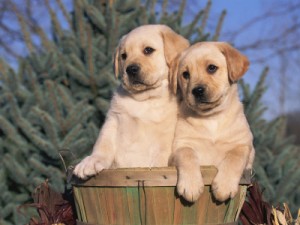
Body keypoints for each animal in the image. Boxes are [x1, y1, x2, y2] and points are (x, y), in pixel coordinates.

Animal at [74, 25, 189, 179]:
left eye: (148, 50)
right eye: (123, 56)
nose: (131, 69)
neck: (145, 98)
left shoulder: (167, 137)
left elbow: (160, 160)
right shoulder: (113, 120)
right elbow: (103, 144)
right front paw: (91, 161)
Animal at [168, 41, 254, 202]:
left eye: (211, 68)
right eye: (185, 74)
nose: (197, 91)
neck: (211, 118)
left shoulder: (244, 145)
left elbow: (235, 157)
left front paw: (224, 186)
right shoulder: (181, 145)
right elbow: (187, 154)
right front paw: (191, 185)